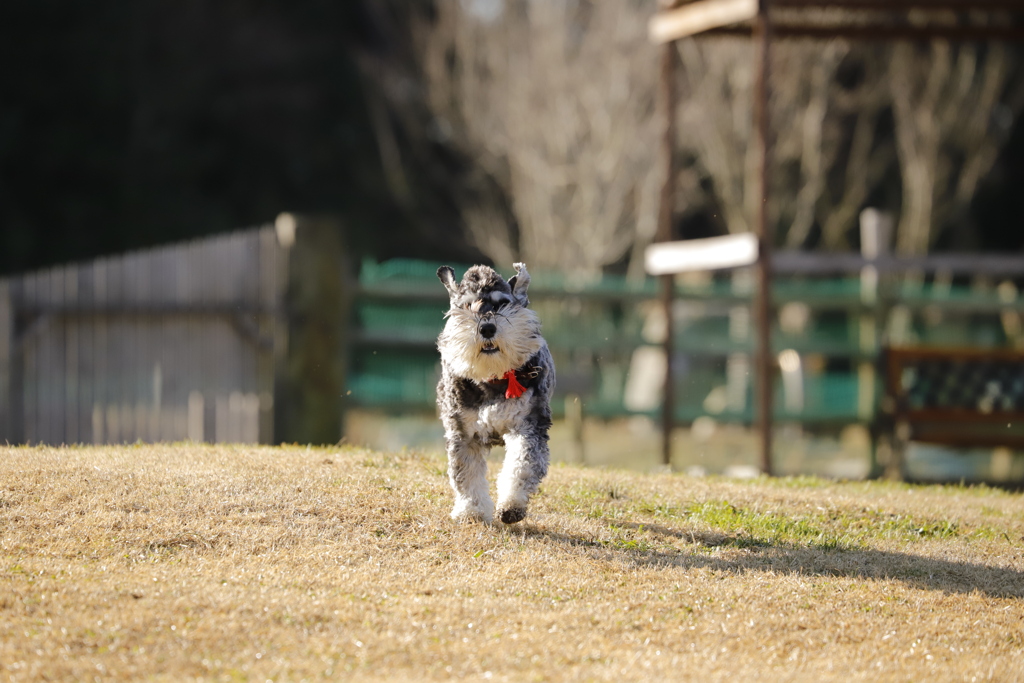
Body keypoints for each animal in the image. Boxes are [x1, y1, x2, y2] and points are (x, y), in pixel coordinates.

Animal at [436, 262, 557, 524]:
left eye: (502, 303)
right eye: (467, 305)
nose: (487, 327)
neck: (492, 377)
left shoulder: (527, 426)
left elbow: (522, 465)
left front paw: (511, 506)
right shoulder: (463, 433)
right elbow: (466, 474)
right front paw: (472, 511)